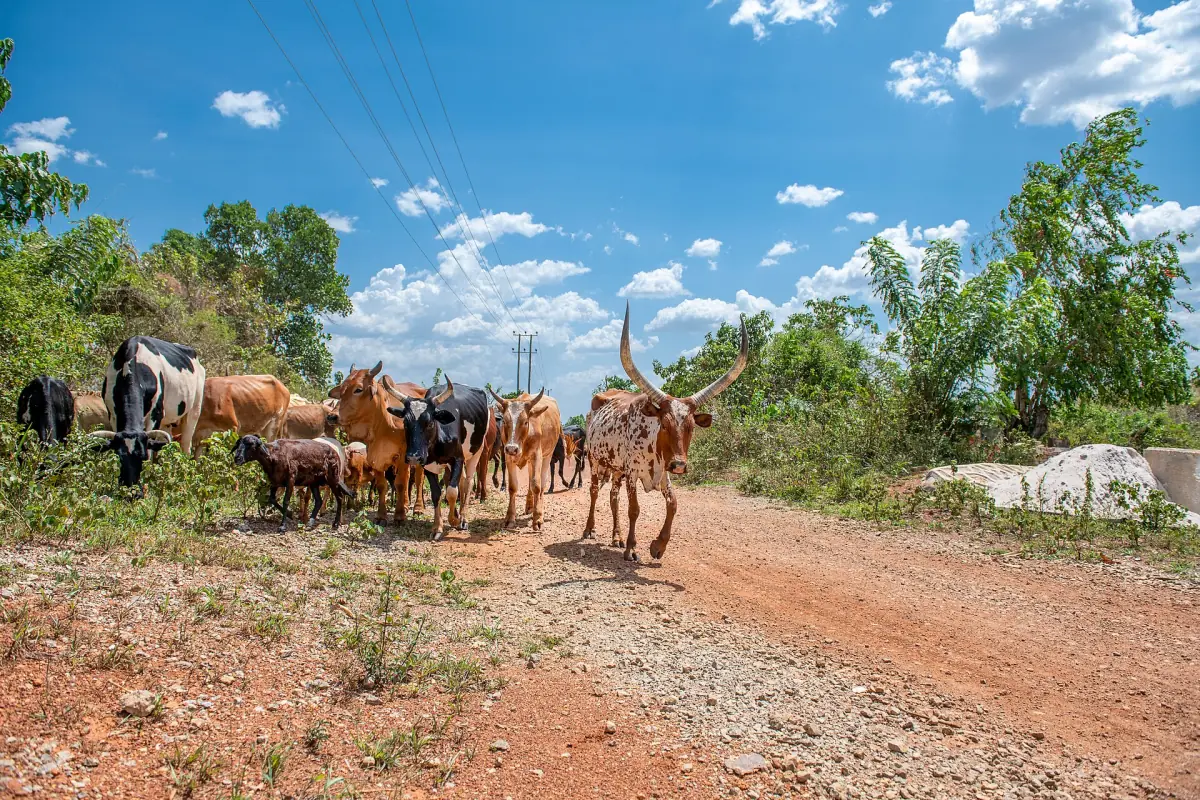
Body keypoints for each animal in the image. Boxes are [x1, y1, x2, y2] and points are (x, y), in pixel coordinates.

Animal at [90, 336, 206, 488]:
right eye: (119, 455)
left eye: (142, 456)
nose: (130, 485)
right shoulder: (113, 416)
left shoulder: (155, 415)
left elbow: (151, 451)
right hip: (167, 421)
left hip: (194, 410)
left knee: (186, 445)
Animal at [328, 362, 426, 525]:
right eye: (341, 390)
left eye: (358, 389)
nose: (332, 416)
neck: (383, 425)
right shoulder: (375, 457)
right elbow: (381, 486)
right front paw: (381, 516)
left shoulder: (403, 456)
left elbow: (400, 483)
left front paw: (399, 516)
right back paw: (406, 505)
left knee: (418, 479)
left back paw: (418, 508)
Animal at [384, 377, 492, 540]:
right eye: (405, 422)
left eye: (429, 423)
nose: (414, 456)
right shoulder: (428, 465)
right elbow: (437, 494)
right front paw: (437, 527)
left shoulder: (458, 459)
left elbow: (452, 492)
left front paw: (454, 520)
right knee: (461, 481)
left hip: (476, 452)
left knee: (467, 482)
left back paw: (463, 518)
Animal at [488, 388, 561, 532]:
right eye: (504, 421)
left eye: (526, 422)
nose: (512, 448)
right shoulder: (509, 457)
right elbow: (513, 487)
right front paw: (510, 518)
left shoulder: (537, 456)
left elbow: (536, 485)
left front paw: (537, 518)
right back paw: (529, 505)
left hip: (547, 456)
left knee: (542, 484)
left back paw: (539, 508)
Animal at [584, 304, 746, 562]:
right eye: (665, 424)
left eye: (690, 427)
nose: (679, 465)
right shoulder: (633, 473)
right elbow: (634, 509)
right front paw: (632, 549)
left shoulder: (663, 472)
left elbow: (673, 504)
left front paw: (658, 546)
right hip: (595, 461)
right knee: (594, 492)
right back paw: (590, 529)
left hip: (616, 468)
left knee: (613, 497)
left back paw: (616, 537)